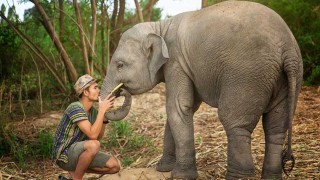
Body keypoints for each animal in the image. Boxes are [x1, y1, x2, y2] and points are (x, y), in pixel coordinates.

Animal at [101, 1, 304, 179]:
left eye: (120, 65)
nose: (121, 90)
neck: (160, 27)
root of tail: (288, 48)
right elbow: (184, 109)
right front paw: (163, 169)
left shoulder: (176, 62)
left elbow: (177, 107)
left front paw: (181, 176)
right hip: (286, 79)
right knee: (276, 128)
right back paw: (271, 176)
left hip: (248, 75)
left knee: (235, 122)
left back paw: (239, 177)